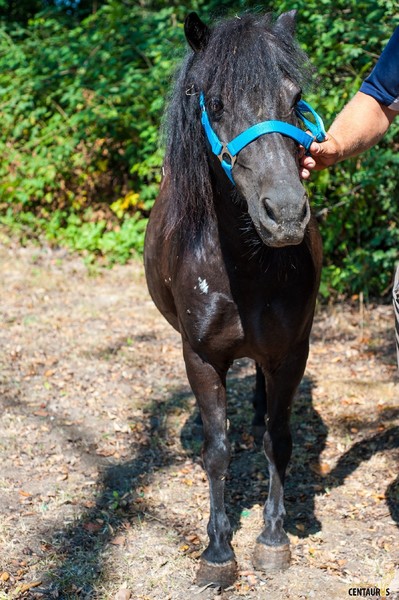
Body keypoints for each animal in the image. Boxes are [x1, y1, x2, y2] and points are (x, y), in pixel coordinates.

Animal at [145, 11, 324, 588]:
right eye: (217, 104)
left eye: (295, 99)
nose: (285, 214)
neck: (245, 269)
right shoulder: (201, 357)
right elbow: (218, 452)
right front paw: (219, 549)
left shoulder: (291, 353)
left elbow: (278, 441)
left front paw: (272, 537)